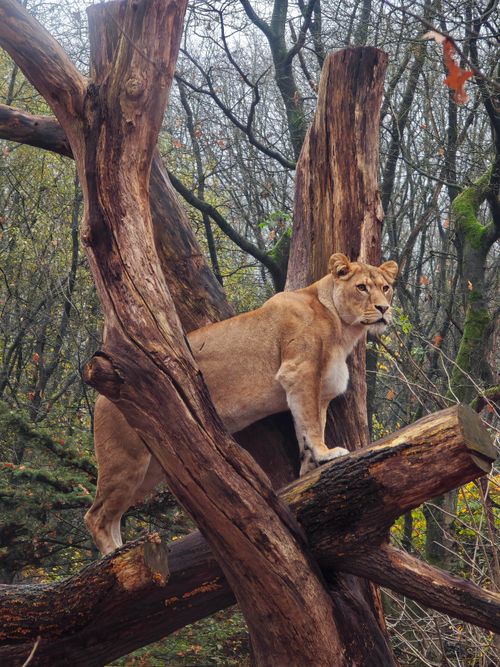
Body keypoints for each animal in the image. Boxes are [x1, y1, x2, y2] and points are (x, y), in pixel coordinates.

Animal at [85, 253, 398, 554]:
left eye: (385, 288)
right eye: (362, 288)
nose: (384, 309)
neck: (343, 327)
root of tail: (101, 390)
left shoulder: (316, 389)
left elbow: (308, 428)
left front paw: (310, 467)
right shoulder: (299, 372)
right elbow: (311, 424)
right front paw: (326, 454)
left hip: (151, 468)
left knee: (112, 514)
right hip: (126, 459)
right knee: (96, 514)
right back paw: (114, 555)